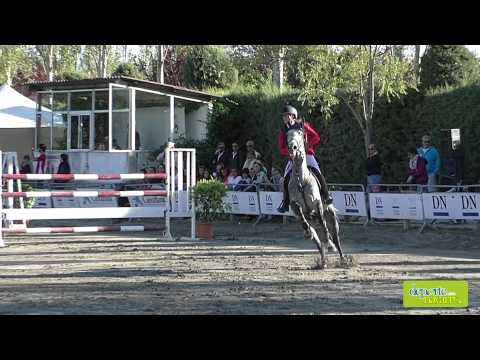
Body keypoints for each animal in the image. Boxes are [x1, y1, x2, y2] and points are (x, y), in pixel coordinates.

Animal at [284, 127, 344, 268]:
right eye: (287, 135)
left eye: (300, 134)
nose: (292, 148)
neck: (301, 180)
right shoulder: (294, 205)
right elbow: (301, 214)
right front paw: (306, 232)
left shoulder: (317, 203)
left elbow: (322, 221)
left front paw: (330, 243)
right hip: (315, 229)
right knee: (319, 244)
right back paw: (323, 262)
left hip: (332, 221)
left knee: (335, 239)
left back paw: (342, 258)